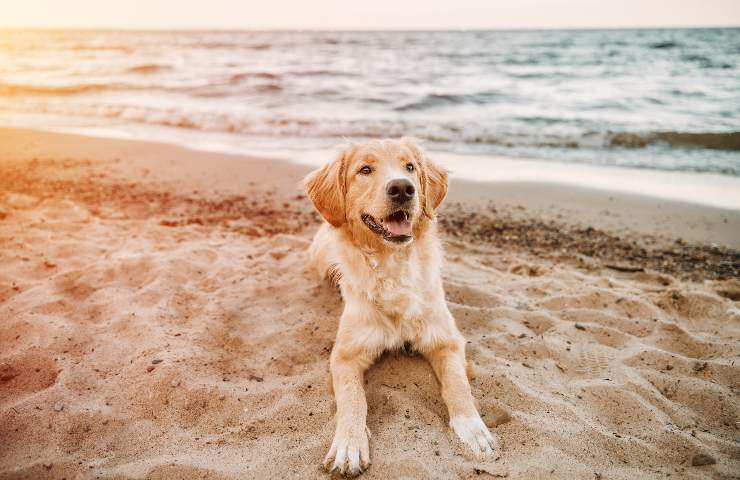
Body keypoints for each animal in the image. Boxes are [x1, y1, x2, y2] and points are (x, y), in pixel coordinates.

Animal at [304, 138, 494, 476]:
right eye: (365, 170)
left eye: (410, 167)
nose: (403, 188)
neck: (393, 265)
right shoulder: (344, 356)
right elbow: (353, 399)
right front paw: (349, 443)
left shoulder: (447, 341)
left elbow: (458, 385)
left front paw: (472, 429)